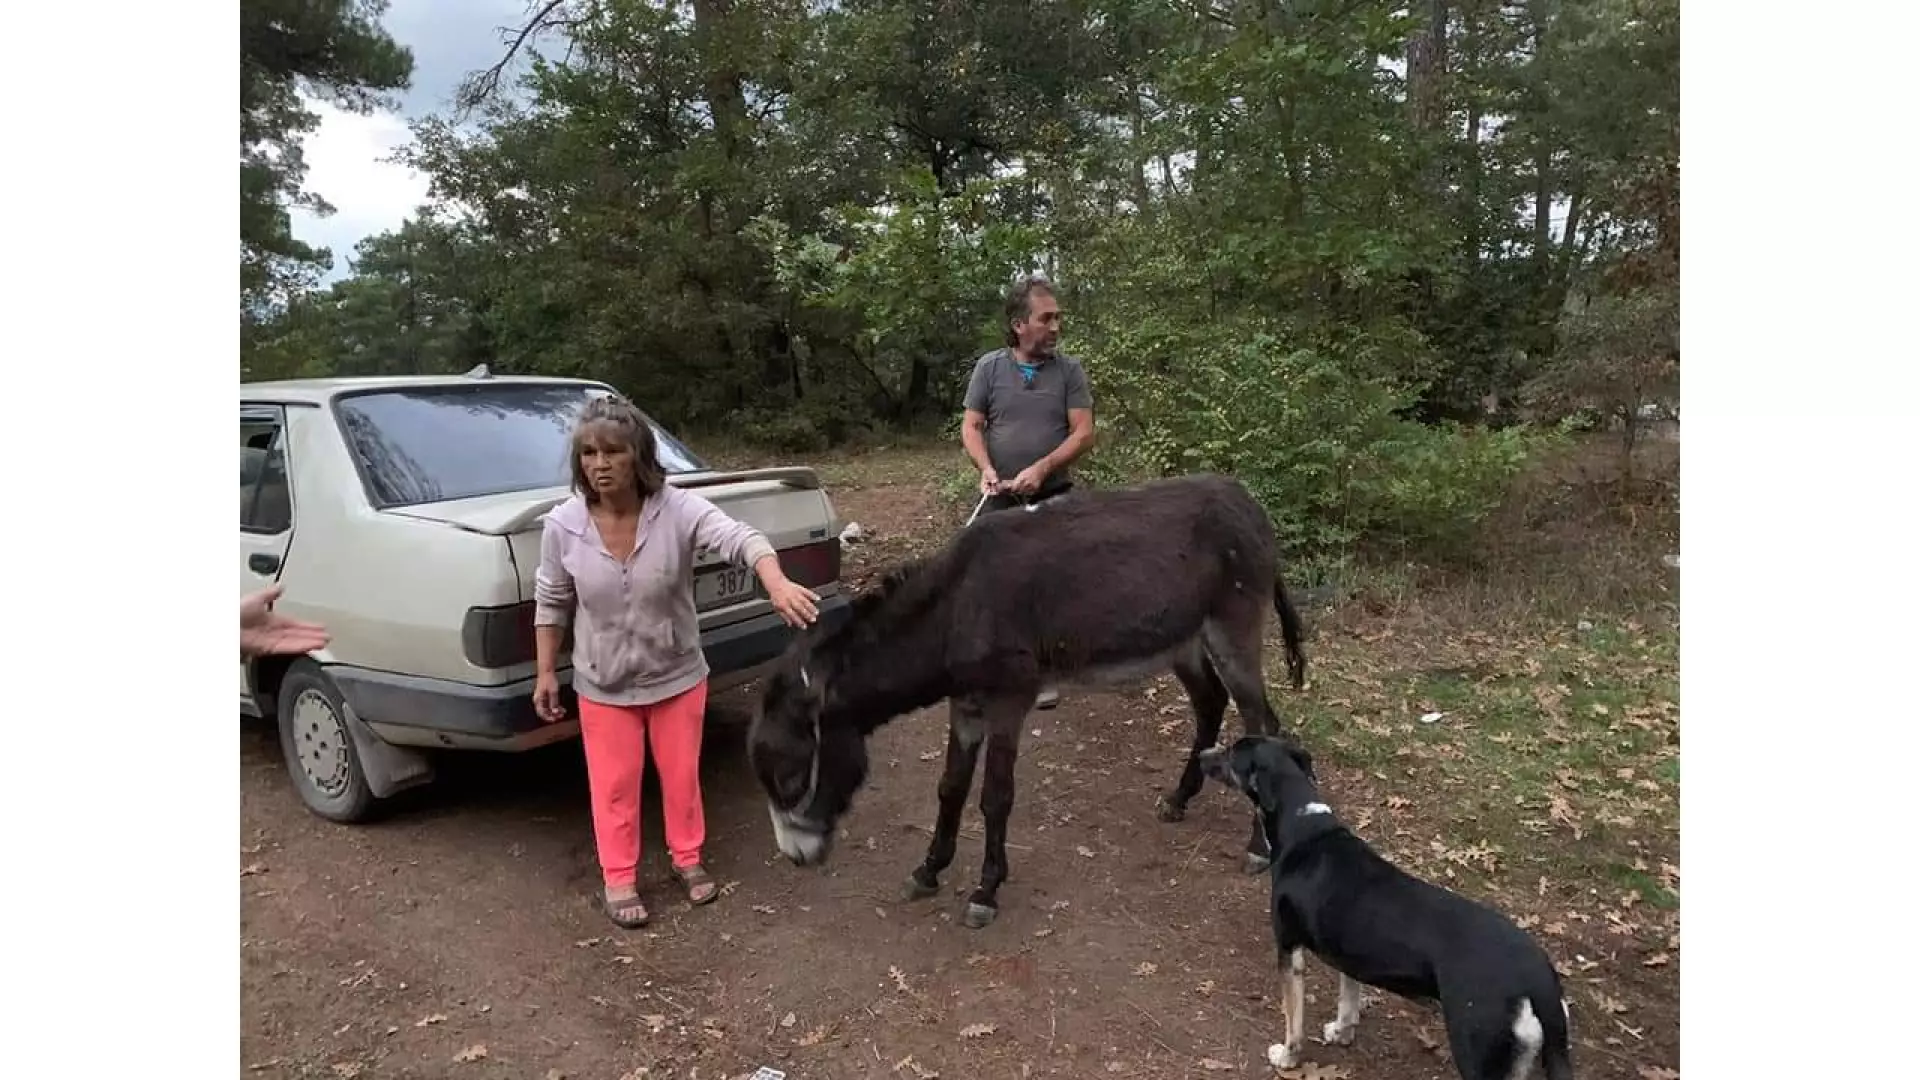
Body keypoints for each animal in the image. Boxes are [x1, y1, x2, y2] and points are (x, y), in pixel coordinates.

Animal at [1198, 730, 1574, 1076]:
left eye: (1231, 752)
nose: (1201, 754)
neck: (1304, 827)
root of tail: (1537, 978)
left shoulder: (1289, 950)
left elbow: (1294, 1022)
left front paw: (1287, 1058)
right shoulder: (1348, 953)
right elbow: (1348, 1000)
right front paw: (1342, 1032)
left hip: (1478, 1054)